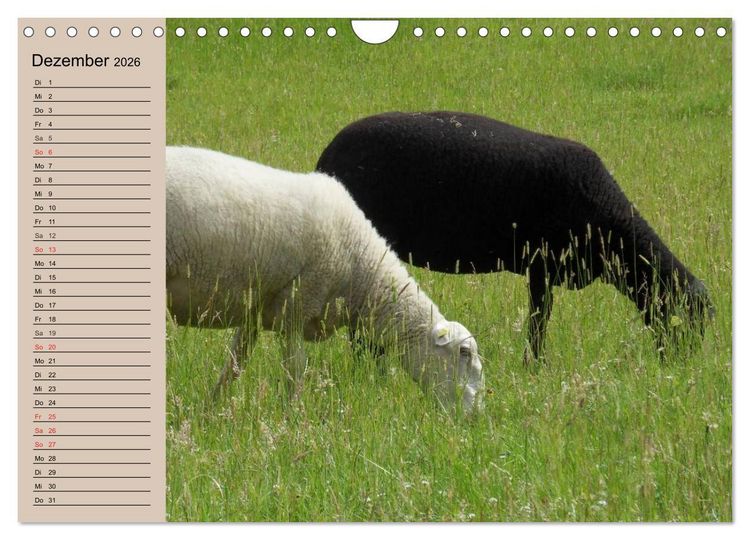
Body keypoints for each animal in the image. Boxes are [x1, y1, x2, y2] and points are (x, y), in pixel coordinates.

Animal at [165, 146, 484, 414]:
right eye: (464, 353)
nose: (475, 417)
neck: (363, 271)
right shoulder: (297, 306)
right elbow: (295, 370)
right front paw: (292, 417)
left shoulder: (256, 310)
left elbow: (234, 364)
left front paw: (209, 411)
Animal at [316, 111, 713, 363]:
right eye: (686, 317)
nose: (684, 365)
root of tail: (326, 158)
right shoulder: (541, 264)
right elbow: (539, 319)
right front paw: (534, 365)